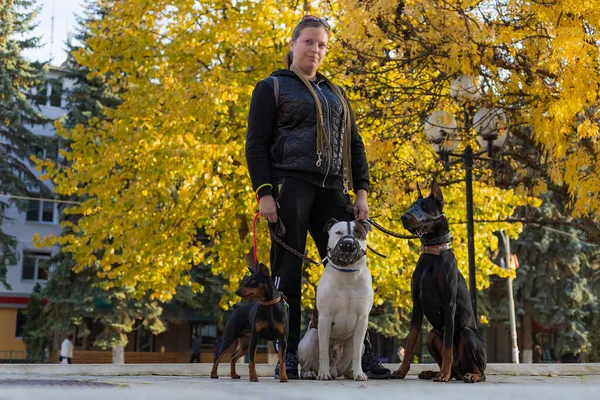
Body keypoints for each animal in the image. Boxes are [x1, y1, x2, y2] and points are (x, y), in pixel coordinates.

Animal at [394, 180, 488, 382]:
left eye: (424, 206)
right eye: (412, 204)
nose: (404, 217)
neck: (432, 253)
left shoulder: (448, 304)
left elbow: (448, 348)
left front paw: (443, 374)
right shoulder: (417, 305)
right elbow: (410, 342)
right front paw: (401, 371)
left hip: (468, 334)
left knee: (481, 370)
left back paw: (468, 375)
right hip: (432, 335)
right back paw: (433, 372)